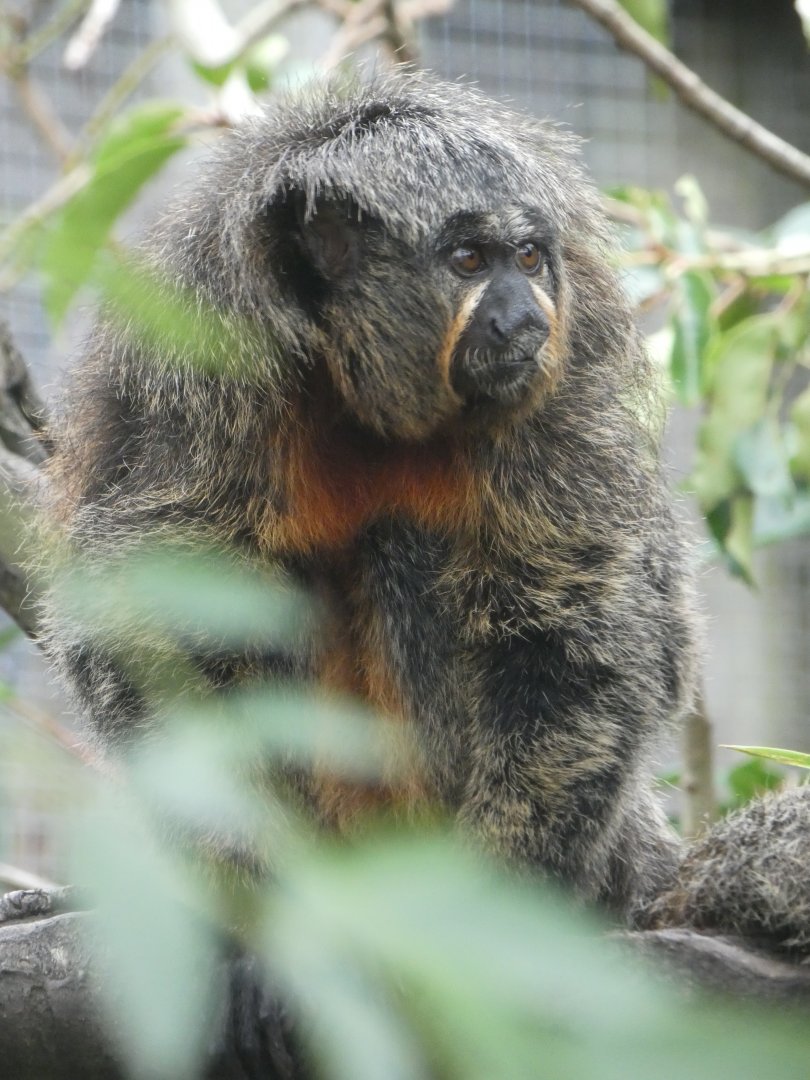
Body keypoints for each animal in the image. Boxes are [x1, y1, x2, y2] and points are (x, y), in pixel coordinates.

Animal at [39, 69, 699, 919]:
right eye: (469, 260)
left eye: (528, 257)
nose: (524, 316)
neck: (352, 394)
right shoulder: (196, 378)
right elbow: (147, 616)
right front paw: (243, 875)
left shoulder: (565, 391)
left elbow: (586, 625)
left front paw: (505, 889)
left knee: (405, 548)